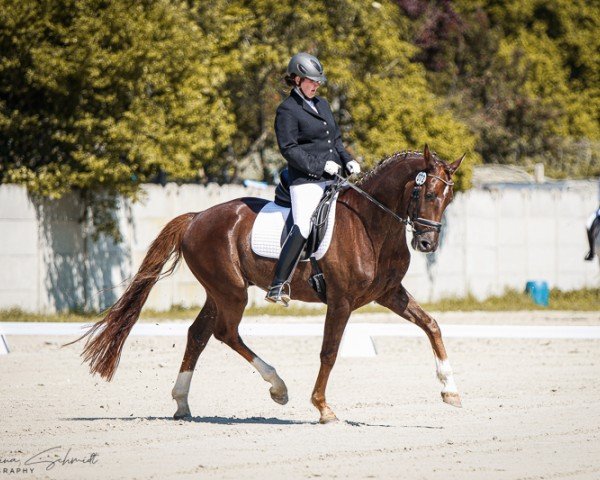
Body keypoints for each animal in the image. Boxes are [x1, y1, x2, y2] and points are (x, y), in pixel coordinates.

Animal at [76, 146, 464, 424]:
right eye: (428, 194)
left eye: (447, 199)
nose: (426, 243)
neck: (370, 224)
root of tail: (196, 218)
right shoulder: (341, 301)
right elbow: (329, 352)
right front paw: (323, 408)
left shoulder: (388, 294)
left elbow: (431, 325)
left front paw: (451, 391)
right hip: (232, 292)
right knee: (225, 333)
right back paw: (278, 388)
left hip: (219, 292)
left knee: (198, 334)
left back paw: (183, 404)